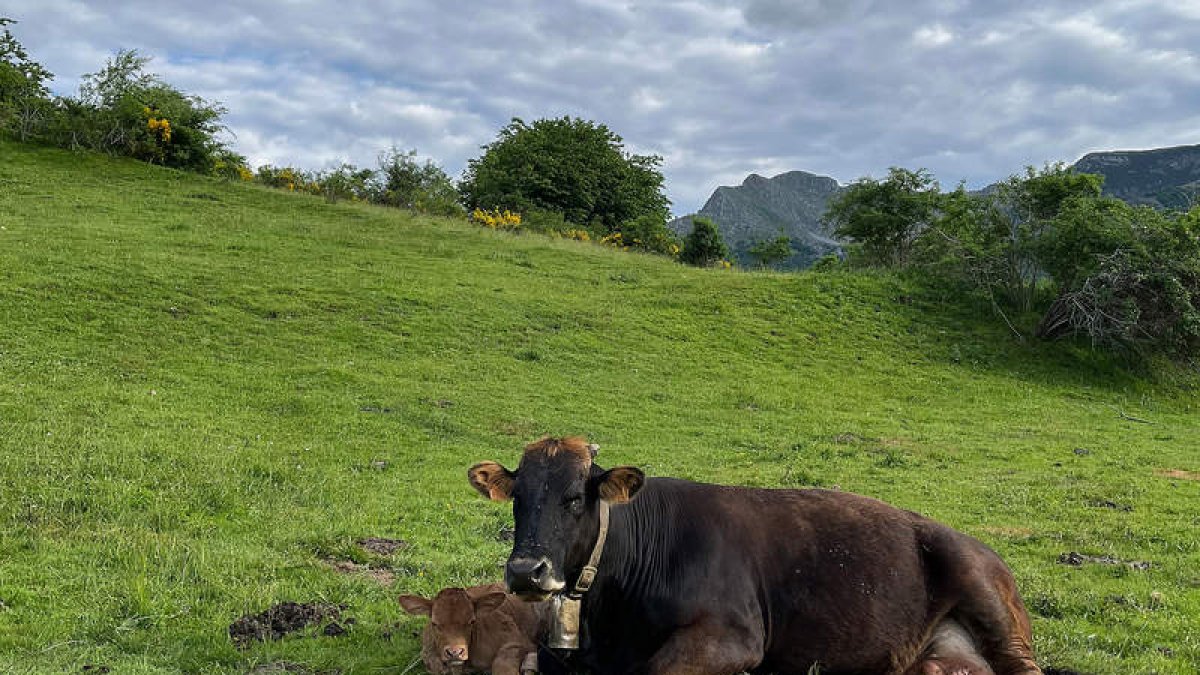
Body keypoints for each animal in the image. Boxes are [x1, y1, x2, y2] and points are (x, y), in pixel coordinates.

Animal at [399, 583, 550, 675]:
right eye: (434, 623)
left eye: (472, 621)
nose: (455, 652)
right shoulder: (428, 654)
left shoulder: (517, 642)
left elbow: (502, 665)